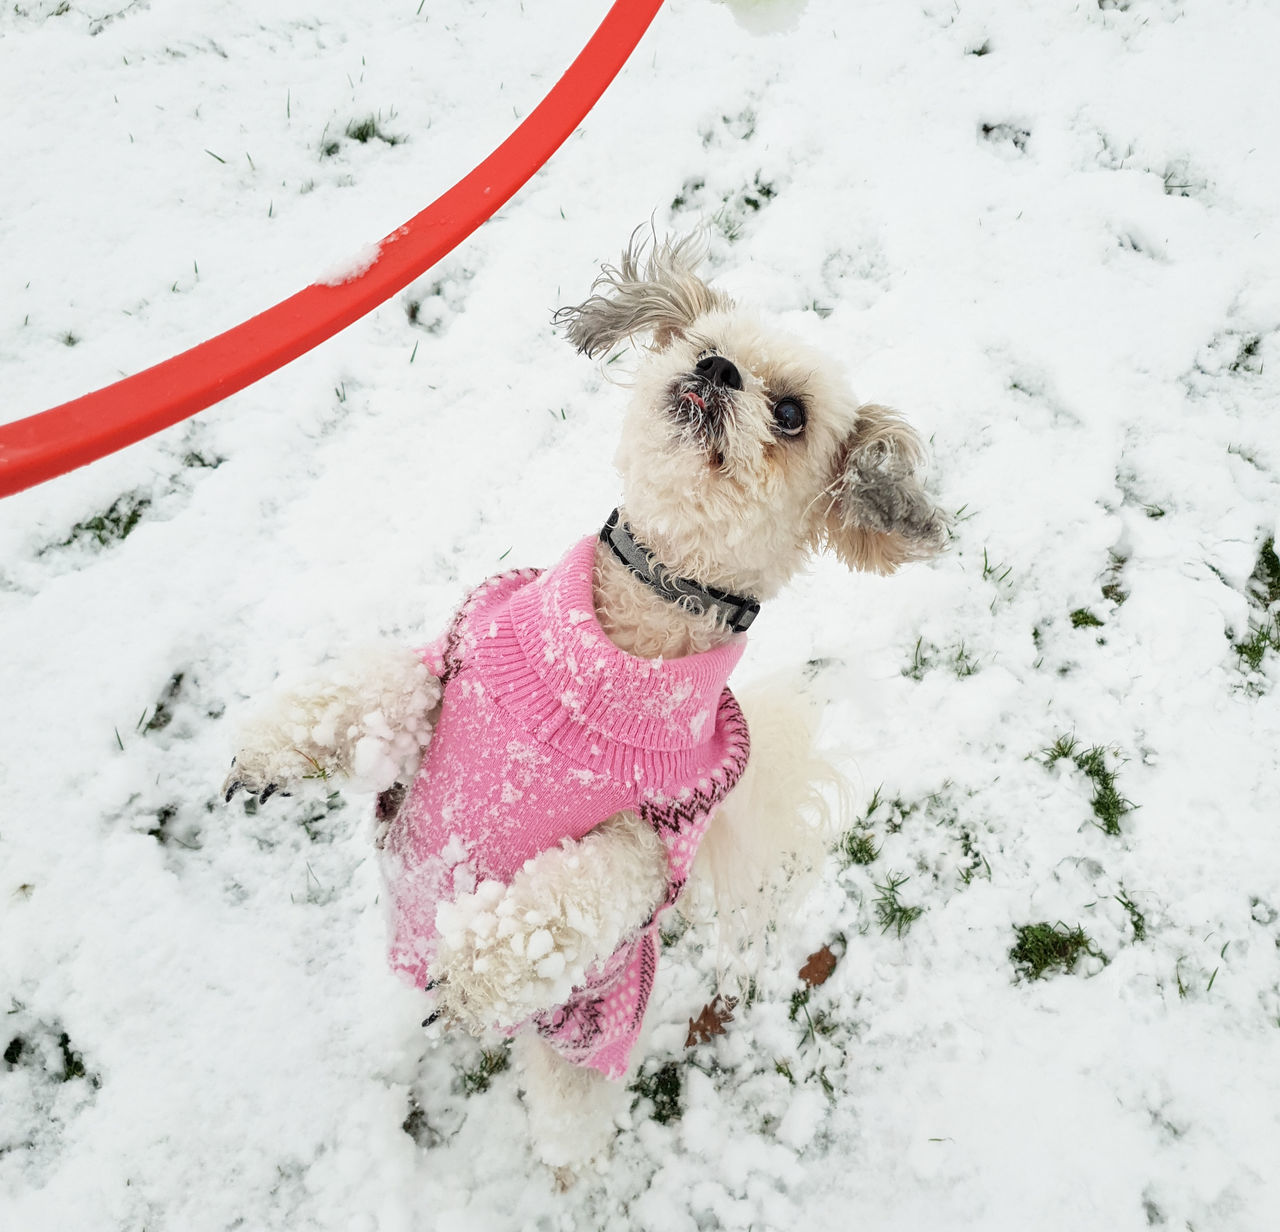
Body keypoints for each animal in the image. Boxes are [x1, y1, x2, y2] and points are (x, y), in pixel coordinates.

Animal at [220, 230, 947, 1183]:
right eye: (701, 344)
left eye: (790, 414)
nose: (716, 370)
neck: (618, 646)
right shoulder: (457, 665)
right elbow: (375, 685)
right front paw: (272, 748)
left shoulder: (654, 836)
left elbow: (570, 895)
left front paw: (480, 967)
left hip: (580, 1052)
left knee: (570, 1130)